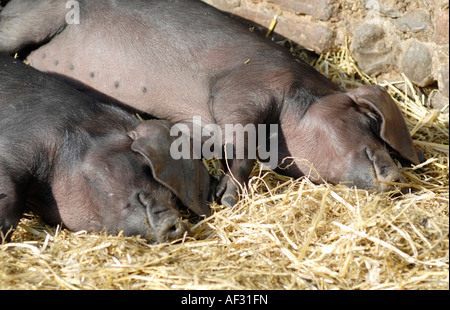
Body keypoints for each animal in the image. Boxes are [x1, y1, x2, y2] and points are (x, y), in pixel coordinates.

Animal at [0, 1, 422, 208]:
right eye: (368, 122)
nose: (397, 177)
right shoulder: (242, 91)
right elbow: (243, 147)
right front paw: (226, 199)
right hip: (33, 19)